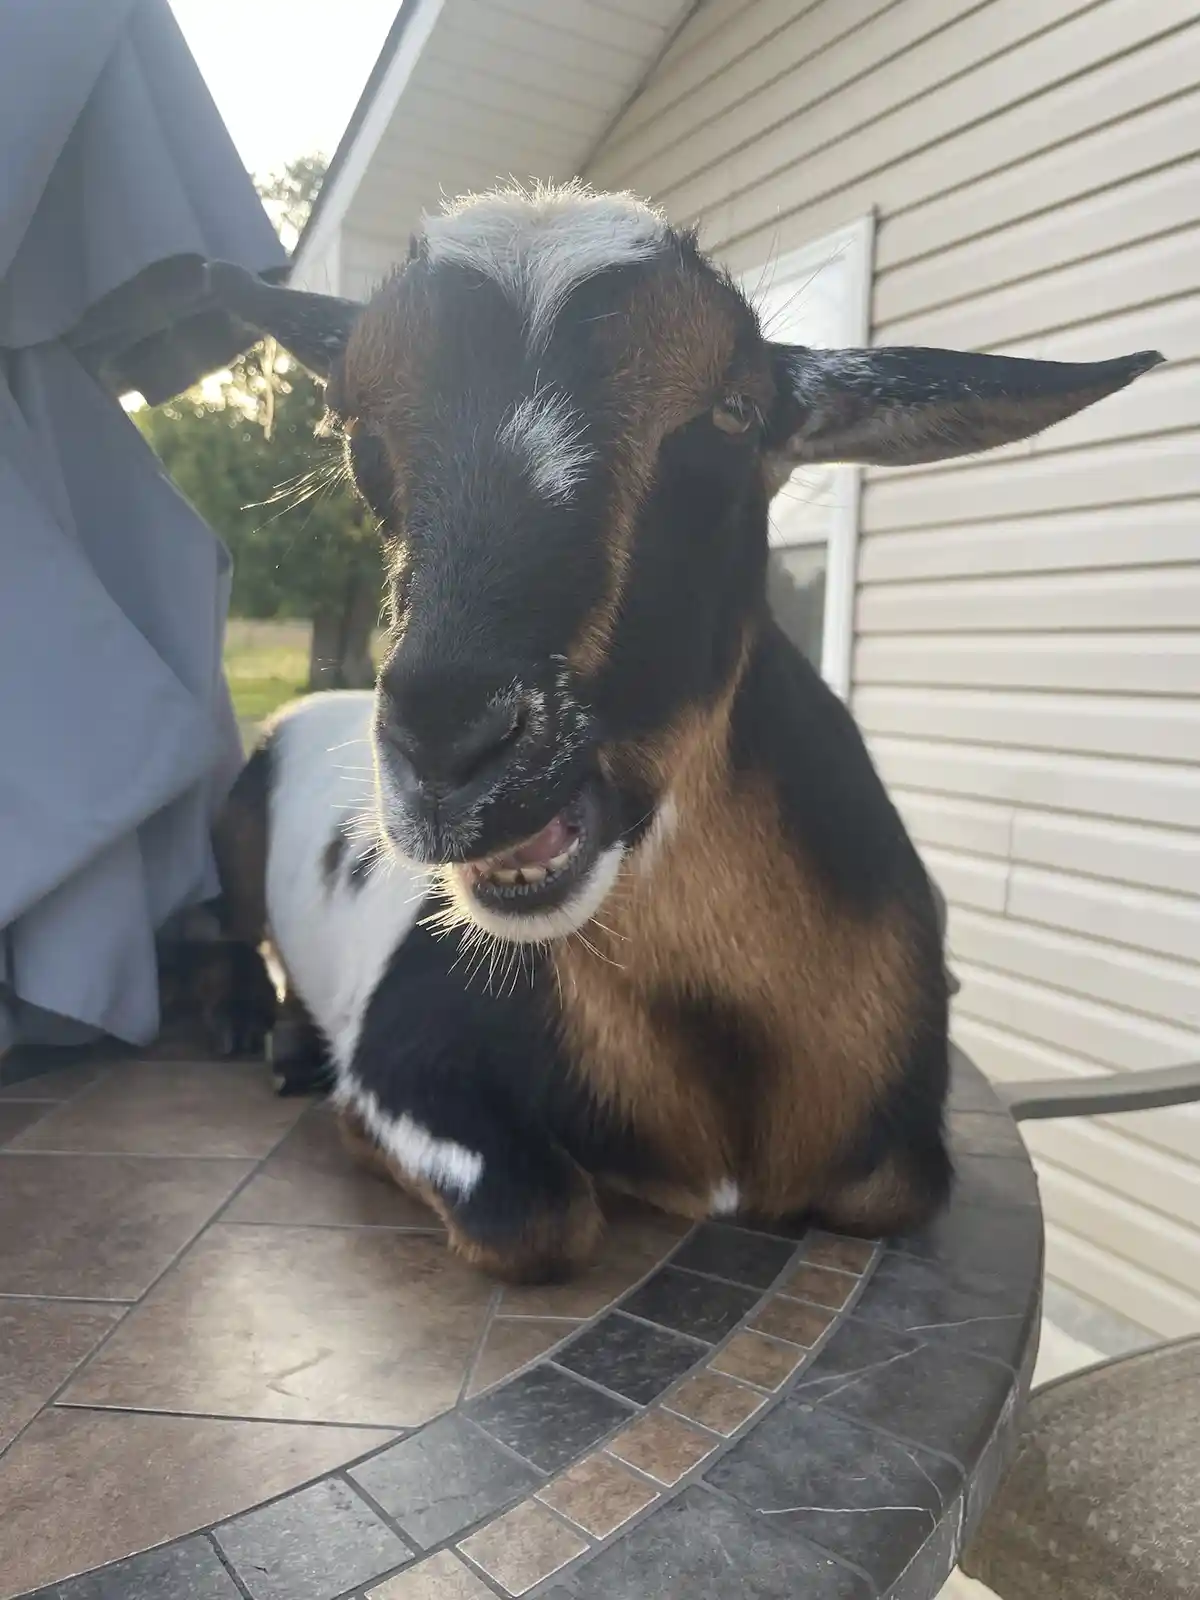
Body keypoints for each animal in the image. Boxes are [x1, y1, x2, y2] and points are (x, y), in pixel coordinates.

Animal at [209, 182, 1162, 1283]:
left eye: (735, 411)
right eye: (357, 428)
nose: (452, 750)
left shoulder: (898, 1156)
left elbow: (890, 1188)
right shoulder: (401, 1056)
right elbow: (536, 1214)